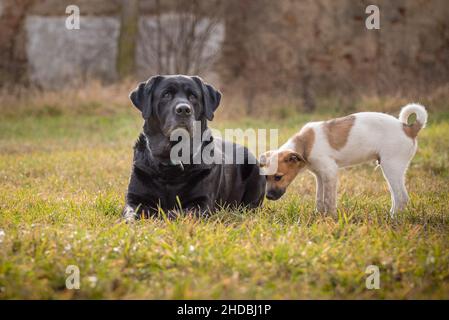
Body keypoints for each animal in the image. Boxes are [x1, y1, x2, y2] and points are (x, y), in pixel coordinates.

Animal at [121, 75, 266, 220]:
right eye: (166, 94)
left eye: (193, 96)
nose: (184, 109)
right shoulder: (135, 198)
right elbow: (131, 213)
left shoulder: (202, 203)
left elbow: (178, 213)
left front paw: (164, 215)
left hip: (255, 169)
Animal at [260, 104, 428, 216]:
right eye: (266, 178)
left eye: (278, 177)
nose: (268, 197)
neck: (306, 143)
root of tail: (408, 128)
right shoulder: (320, 175)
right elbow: (319, 199)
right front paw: (319, 215)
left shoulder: (330, 172)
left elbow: (328, 199)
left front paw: (331, 218)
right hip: (391, 170)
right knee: (396, 196)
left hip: (391, 167)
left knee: (402, 197)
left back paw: (393, 218)